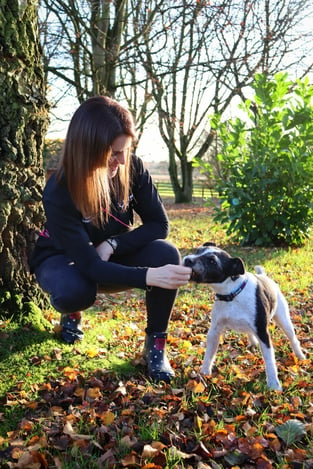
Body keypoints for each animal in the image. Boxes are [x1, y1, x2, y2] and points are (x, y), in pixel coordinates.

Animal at [182, 243, 304, 390]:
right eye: (198, 251)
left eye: (212, 261)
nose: (187, 259)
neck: (232, 294)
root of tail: (265, 277)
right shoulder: (214, 331)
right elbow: (209, 354)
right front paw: (204, 373)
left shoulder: (263, 333)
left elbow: (269, 361)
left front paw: (274, 384)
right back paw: (252, 342)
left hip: (283, 320)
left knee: (293, 339)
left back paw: (300, 356)